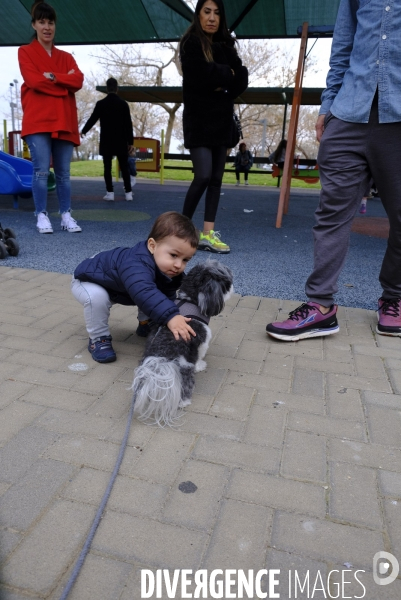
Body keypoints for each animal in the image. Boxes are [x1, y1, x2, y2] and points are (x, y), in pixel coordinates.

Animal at [132, 258, 231, 426]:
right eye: (227, 284)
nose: (233, 288)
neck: (188, 301)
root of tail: (162, 358)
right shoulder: (202, 339)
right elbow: (200, 354)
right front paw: (200, 365)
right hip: (184, 369)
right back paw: (184, 402)